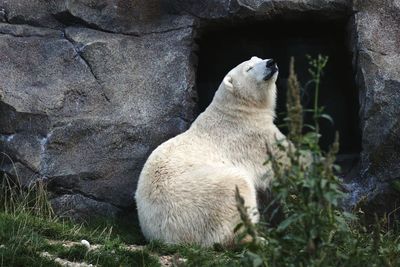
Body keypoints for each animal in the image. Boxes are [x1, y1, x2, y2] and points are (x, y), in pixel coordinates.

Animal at [136, 56, 286, 247]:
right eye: (249, 68)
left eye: (259, 58)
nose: (270, 62)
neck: (235, 111)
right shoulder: (251, 136)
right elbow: (281, 156)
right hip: (205, 192)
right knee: (237, 191)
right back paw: (258, 239)